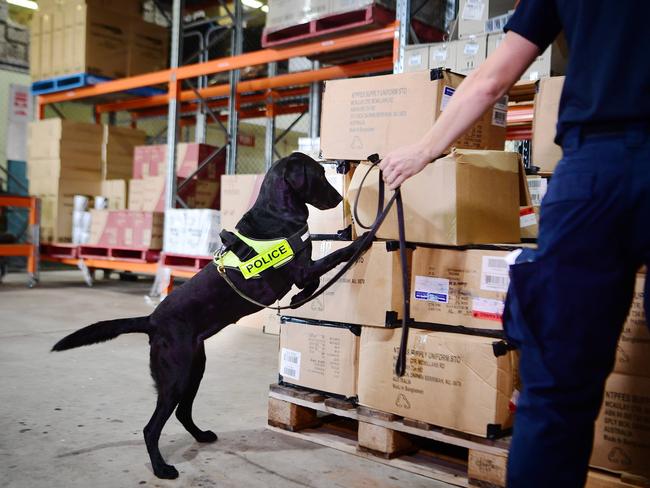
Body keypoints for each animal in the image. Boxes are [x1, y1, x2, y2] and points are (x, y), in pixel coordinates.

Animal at [53, 153, 368, 480]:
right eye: (319, 174)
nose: (339, 198)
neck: (276, 212)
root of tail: (152, 320)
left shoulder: (303, 271)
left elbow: (315, 278)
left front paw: (298, 297)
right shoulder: (302, 269)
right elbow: (333, 258)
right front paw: (362, 241)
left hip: (195, 369)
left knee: (182, 412)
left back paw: (201, 435)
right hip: (175, 377)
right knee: (151, 428)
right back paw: (161, 468)